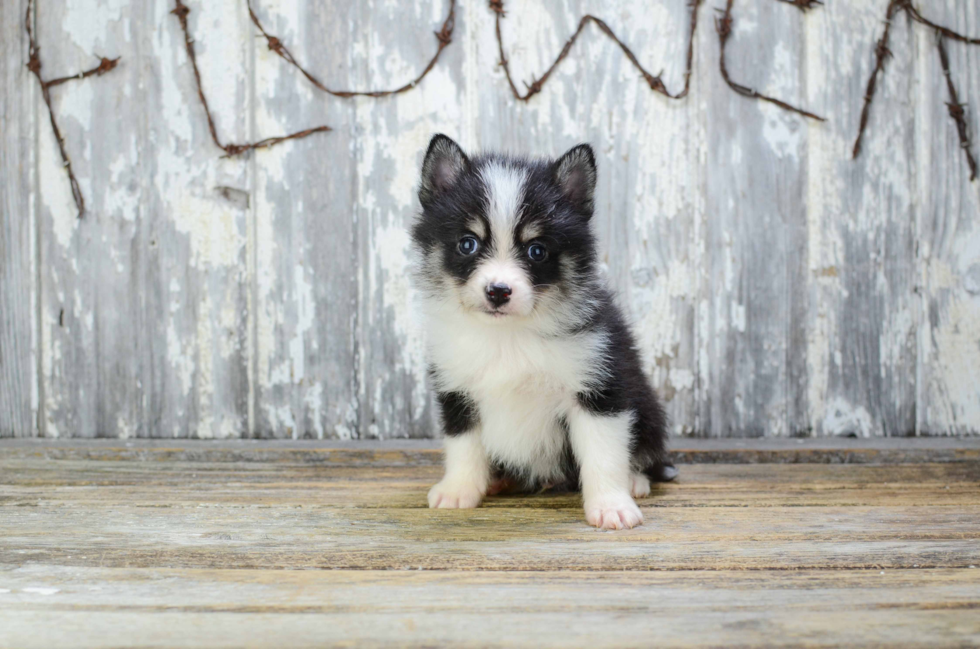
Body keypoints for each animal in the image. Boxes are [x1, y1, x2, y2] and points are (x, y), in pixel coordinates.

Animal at [410, 135, 668, 528]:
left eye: (537, 250)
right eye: (467, 243)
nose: (498, 291)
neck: (508, 335)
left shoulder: (597, 388)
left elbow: (603, 453)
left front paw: (611, 504)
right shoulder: (457, 390)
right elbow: (463, 444)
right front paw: (459, 489)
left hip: (648, 408)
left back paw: (635, 480)